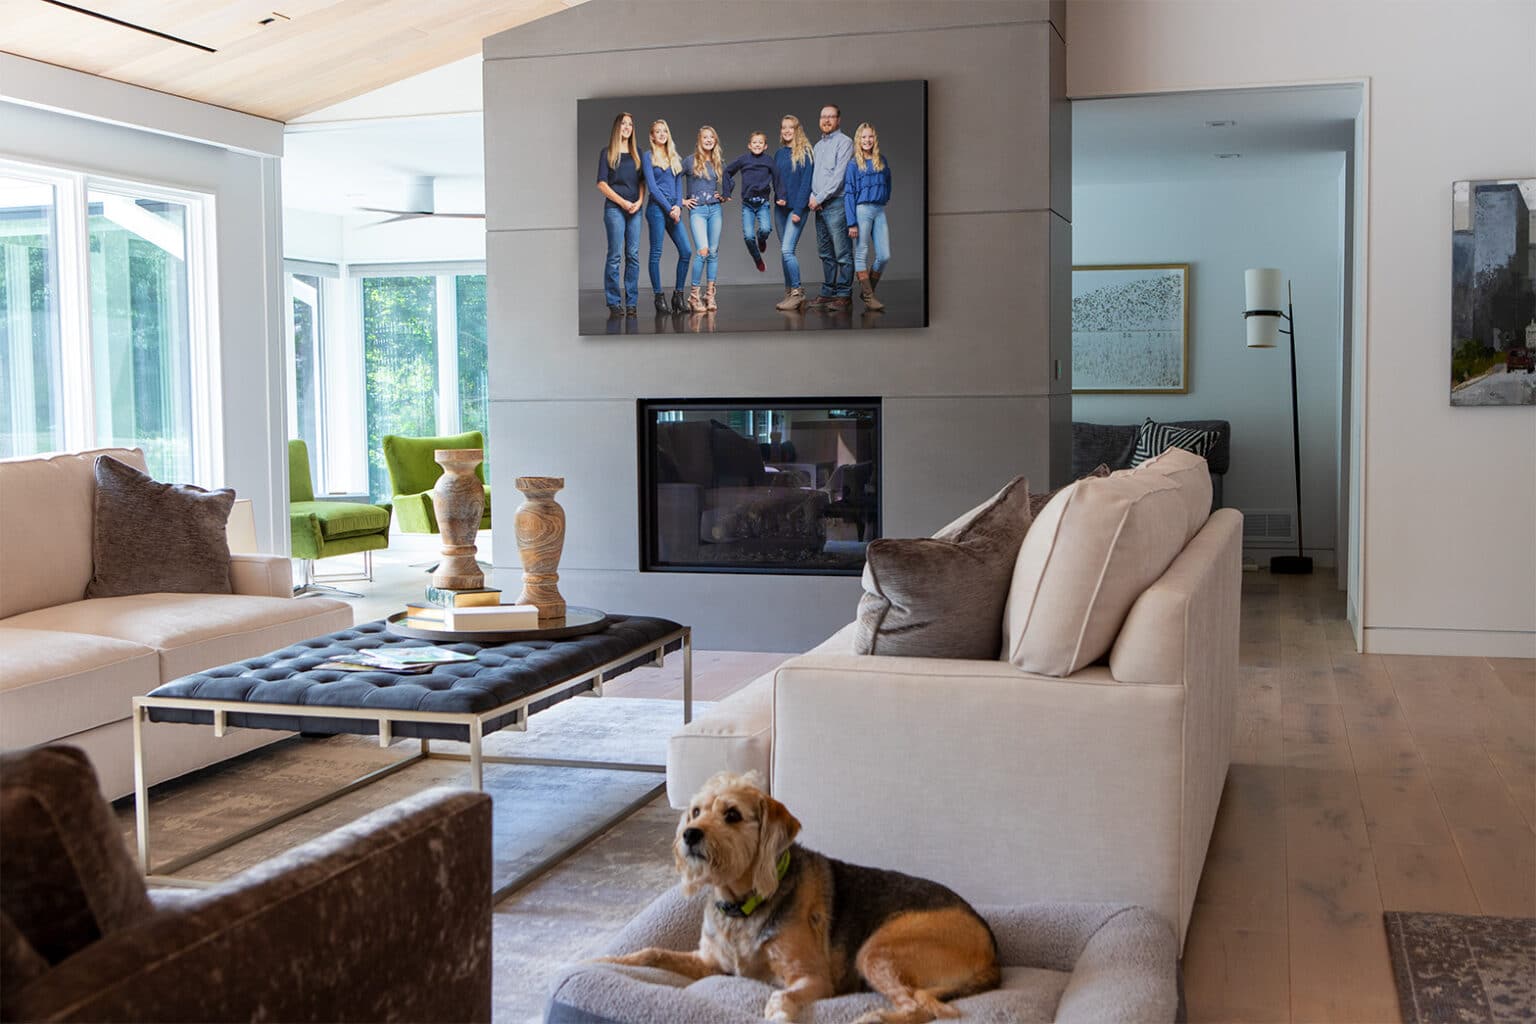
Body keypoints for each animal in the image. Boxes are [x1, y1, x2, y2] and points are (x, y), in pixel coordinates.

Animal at [599, 773, 1007, 1019]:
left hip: (875, 951)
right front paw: (604, 961)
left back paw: (873, 1017)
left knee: (918, 1008)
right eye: (695, 811)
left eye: (732, 814)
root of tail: (992, 953)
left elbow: (778, 997)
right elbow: (651, 952)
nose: (690, 834)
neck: (743, 905)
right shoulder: (712, 963)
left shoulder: (812, 979)